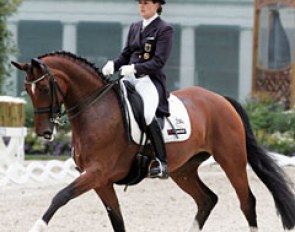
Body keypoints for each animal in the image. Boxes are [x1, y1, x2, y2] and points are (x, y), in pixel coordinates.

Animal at [12, 51, 295, 232]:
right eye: (27, 90)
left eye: (44, 88)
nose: (44, 132)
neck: (96, 110)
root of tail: (221, 99)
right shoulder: (100, 181)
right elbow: (117, 221)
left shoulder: (96, 173)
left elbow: (60, 196)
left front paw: (37, 226)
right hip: (184, 170)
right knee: (207, 200)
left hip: (231, 159)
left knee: (247, 202)